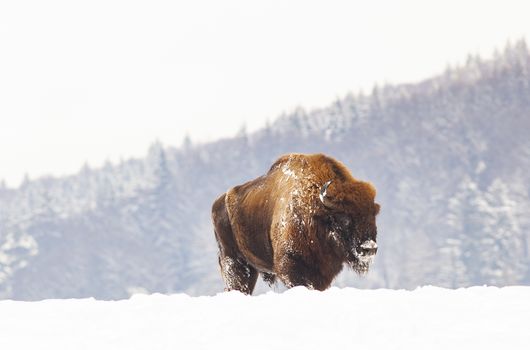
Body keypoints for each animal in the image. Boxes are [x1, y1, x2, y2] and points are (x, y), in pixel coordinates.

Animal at [211, 153, 380, 292]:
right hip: (234, 261)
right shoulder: (291, 266)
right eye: (344, 217)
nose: (369, 248)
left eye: (373, 215)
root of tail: (218, 203)